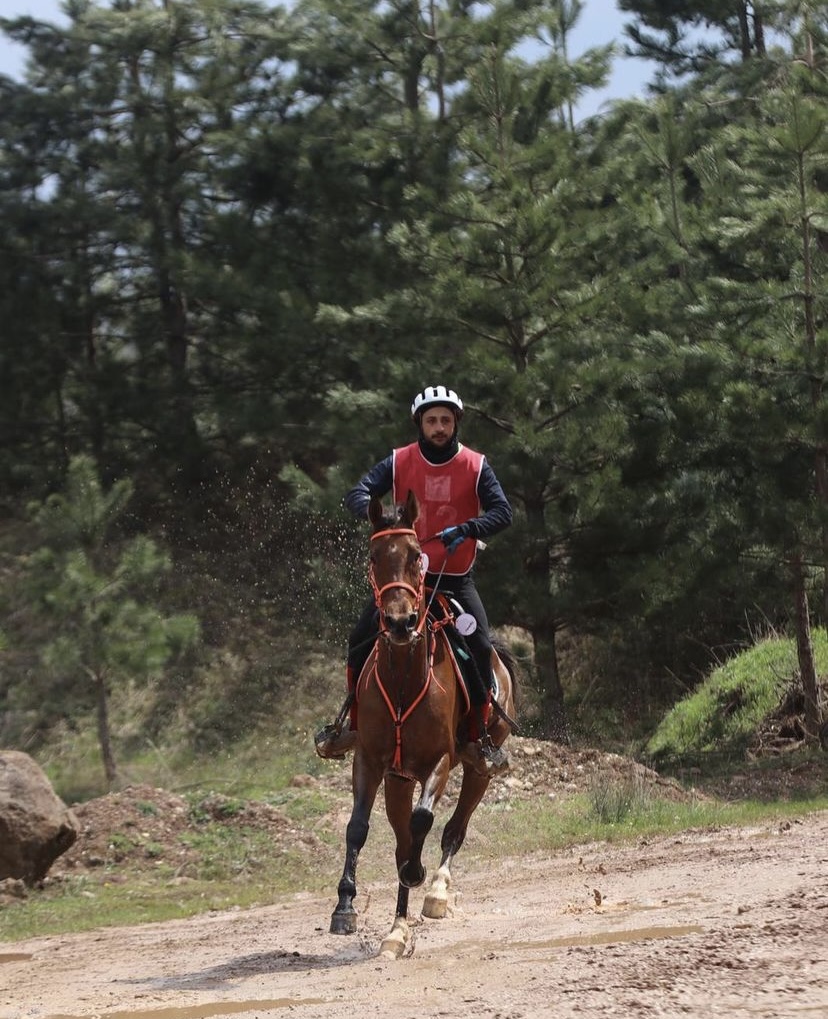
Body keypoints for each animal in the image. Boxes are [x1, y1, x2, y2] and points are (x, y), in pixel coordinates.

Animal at [327, 489, 517, 957]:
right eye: (374, 556)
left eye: (417, 555)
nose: (400, 622)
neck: (402, 677)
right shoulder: (371, 761)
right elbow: (358, 828)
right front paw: (345, 906)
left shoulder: (439, 762)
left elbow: (422, 823)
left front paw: (419, 875)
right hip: (399, 779)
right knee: (400, 841)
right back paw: (397, 929)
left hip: (478, 768)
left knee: (453, 830)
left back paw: (436, 892)